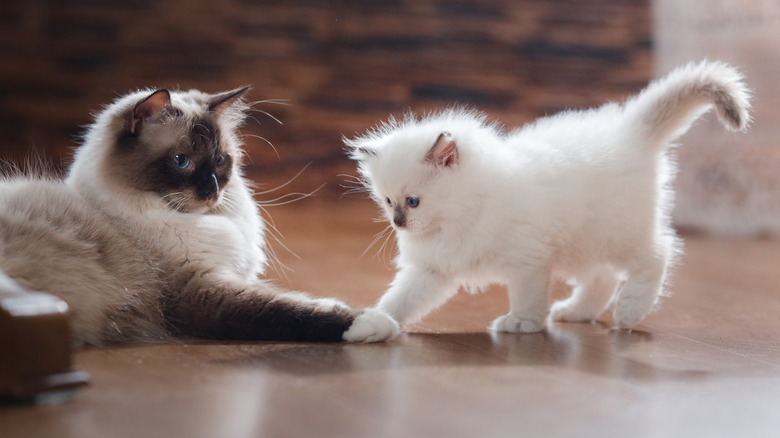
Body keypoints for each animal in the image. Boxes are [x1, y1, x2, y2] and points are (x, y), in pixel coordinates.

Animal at [0, 86, 400, 346]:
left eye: (220, 160)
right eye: (182, 162)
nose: (212, 191)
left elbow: (293, 298)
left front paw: (336, 303)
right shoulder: (201, 291)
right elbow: (282, 309)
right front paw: (374, 321)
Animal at [346, 60, 748, 334]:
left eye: (413, 201)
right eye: (387, 202)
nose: (398, 222)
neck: (461, 217)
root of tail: (631, 131)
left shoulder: (527, 261)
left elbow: (527, 297)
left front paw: (521, 324)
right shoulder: (432, 270)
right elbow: (400, 300)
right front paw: (372, 323)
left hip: (619, 234)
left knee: (660, 253)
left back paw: (629, 311)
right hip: (586, 243)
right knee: (602, 280)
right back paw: (575, 313)